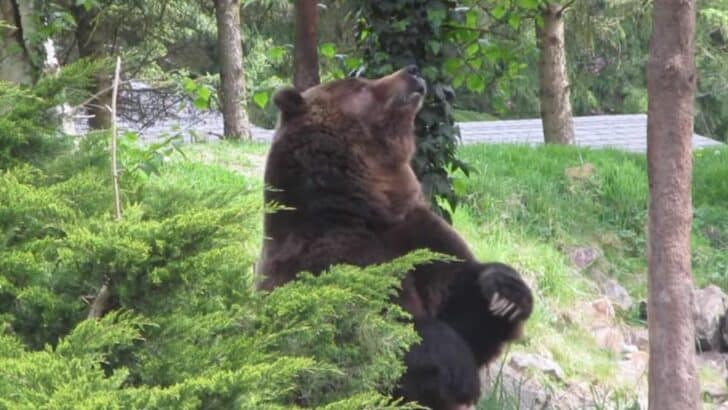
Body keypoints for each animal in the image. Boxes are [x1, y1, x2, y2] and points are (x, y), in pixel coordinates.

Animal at [255, 66, 533, 409]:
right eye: (359, 83)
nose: (412, 70)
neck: (369, 203)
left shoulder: (416, 233)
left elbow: (462, 303)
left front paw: (506, 293)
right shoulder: (326, 253)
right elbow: (371, 329)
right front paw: (458, 366)